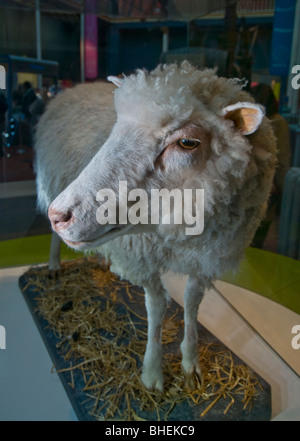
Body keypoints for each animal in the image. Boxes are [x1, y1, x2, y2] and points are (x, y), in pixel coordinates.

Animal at [35, 61, 276, 388]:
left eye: (187, 143)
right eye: (116, 129)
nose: (59, 216)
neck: (184, 236)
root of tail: (79, 86)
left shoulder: (207, 259)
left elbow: (192, 301)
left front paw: (191, 360)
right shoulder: (143, 256)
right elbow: (157, 306)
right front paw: (152, 372)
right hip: (53, 180)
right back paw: (53, 265)